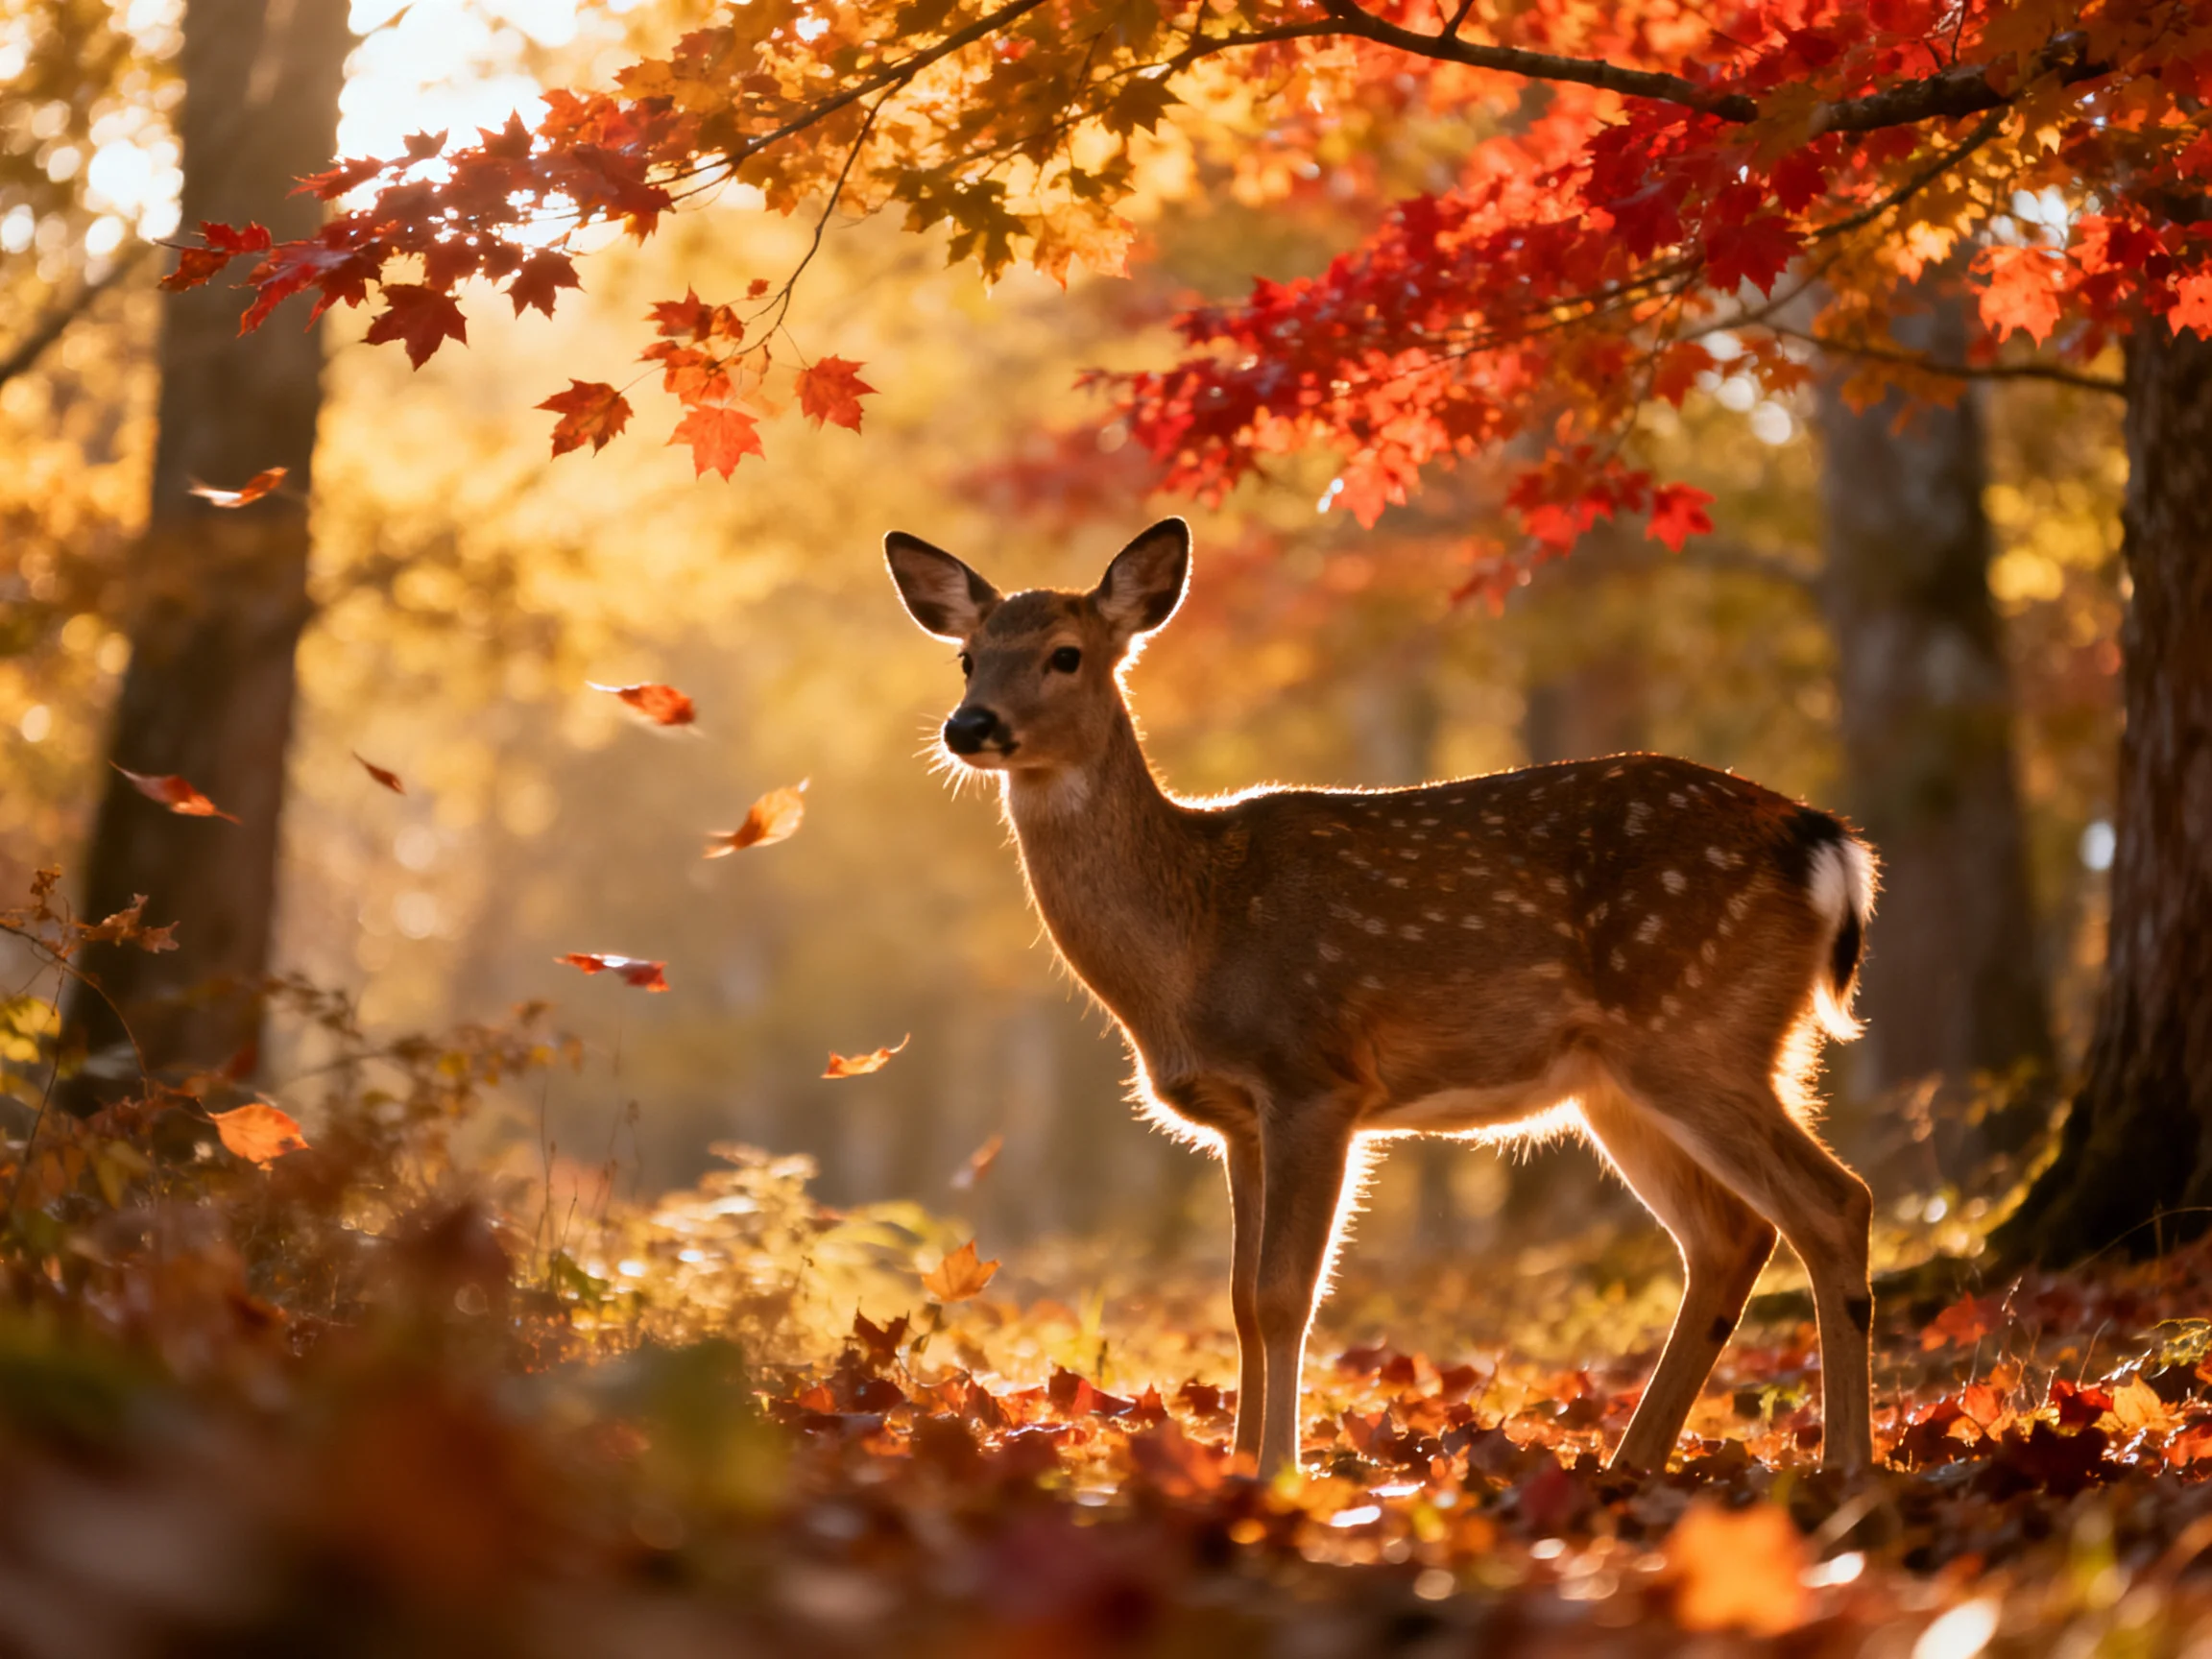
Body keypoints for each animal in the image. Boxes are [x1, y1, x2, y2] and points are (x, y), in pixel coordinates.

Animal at [886, 517, 1880, 1481]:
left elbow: (1284, 1297)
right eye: (968, 656)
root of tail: (1826, 841)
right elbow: (1239, 1300)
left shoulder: (1314, 1077)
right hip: (1622, 1080)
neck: (1195, 939)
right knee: (1729, 1236)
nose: (970, 725)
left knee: (1834, 1204)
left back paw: (1847, 1467)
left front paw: (1276, 1474)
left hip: (1696, 1028)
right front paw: (1234, 1462)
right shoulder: (1239, 1118)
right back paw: (1630, 1465)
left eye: (1066, 654)